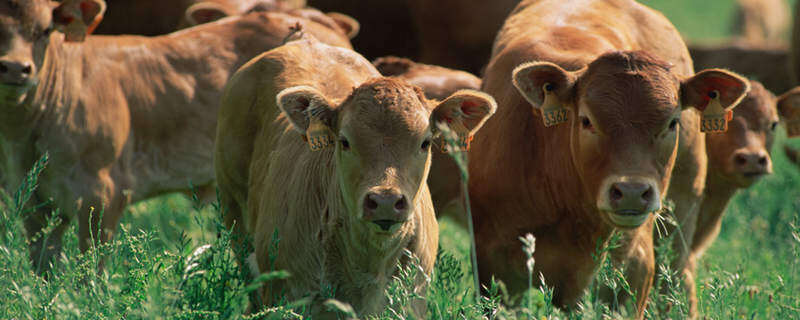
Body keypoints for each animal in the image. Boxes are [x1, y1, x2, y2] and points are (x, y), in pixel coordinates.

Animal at [0, 0, 356, 272]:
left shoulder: (102, 195)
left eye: (44, 30)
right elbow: (45, 271)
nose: (16, 68)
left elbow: (91, 274)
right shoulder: (32, 201)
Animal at [468, 0, 752, 316]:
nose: (631, 192)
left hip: (679, 217)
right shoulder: (496, 269)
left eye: (672, 122)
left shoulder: (633, 275)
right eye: (586, 120)